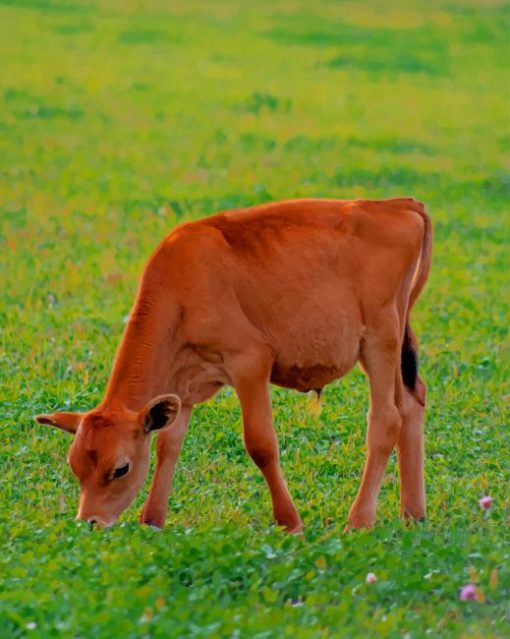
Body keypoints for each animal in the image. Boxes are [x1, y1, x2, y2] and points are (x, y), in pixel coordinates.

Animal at [35, 198, 432, 532]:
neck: (183, 281)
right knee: (411, 403)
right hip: (396, 344)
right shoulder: (183, 384)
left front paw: (290, 522)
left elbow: (260, 443)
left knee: (386, 419)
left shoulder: (250, 362)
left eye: (120, 469)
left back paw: (359, 521)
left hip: (380, 338)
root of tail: (396, 204)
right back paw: (413, 513)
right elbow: (168, 444)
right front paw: (152, 519)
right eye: (74, 466)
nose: (89, 522)